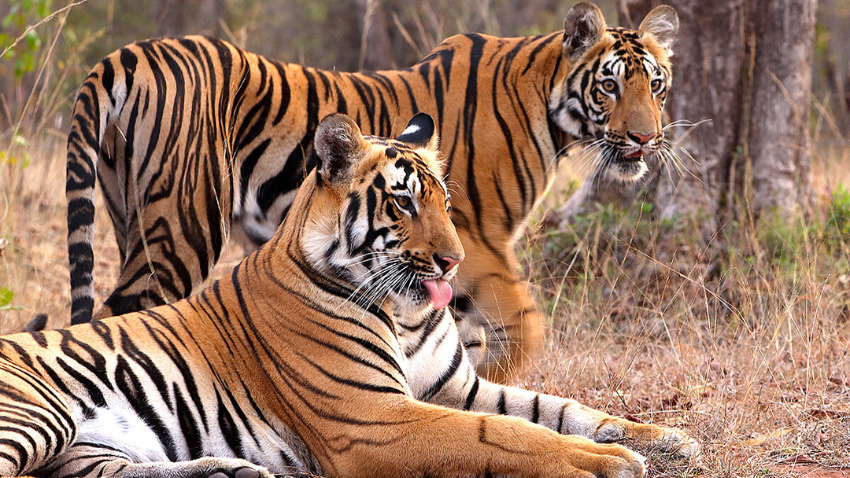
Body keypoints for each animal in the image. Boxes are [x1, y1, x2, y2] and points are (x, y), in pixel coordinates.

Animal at [0, 112, 697, 478]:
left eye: (445, 201)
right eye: (404, 202)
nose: (455, 261)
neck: (405, 313)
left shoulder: (457, 387)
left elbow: (559, 408)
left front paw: (664, 439)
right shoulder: (374, 418)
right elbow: (500, 434)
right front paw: (602, 461)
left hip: (88, 447)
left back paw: (228, 471)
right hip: (35, 414)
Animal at [65, 2, 679, 381]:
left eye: (655, 84)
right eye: (609, 85)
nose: (646, 138)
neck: (550, 113)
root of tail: (124, 54)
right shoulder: (477, 243)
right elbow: (526, 328)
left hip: (130, 217)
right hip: (183, 230)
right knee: (120, 318)